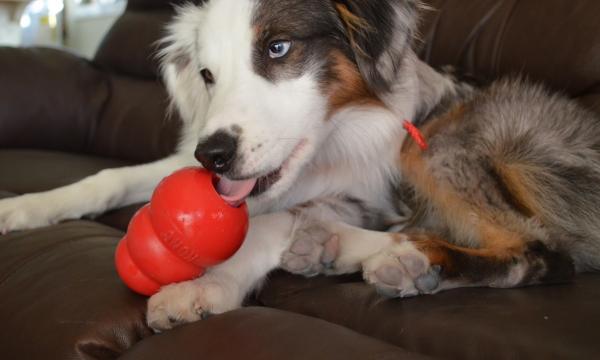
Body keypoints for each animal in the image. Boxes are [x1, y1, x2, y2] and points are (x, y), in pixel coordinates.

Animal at [1, 0, 600, 332]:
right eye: (207, 75)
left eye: (278, 48)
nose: (211, 155)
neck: (327, 147)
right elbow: (112, 175)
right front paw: (25, 207)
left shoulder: (374, 192)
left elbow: (268, 221)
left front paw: (207, 286)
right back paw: (340, 250)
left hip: (439, 146)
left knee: (543, 252)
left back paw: (398, 260)